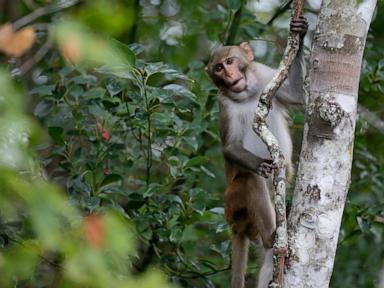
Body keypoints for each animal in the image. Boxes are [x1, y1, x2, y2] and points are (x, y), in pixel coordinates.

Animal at [206, 16, 308, 288]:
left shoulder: (264, 75)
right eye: (218, 68)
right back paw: (272, 237)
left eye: (231, 61)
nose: (230, 75)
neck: (246, 93)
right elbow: (230, 147)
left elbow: (298, 95)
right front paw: (261, 164)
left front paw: (300, 32)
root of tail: (234, 225)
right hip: (234, 204)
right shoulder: (224, 104)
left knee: (268, 260)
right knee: (251, 180)